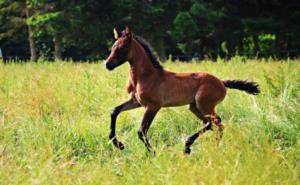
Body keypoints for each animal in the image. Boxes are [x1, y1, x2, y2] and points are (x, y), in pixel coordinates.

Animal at [104, 26, 258, 154]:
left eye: (123, 47)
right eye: (113, 46)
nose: (107, 64)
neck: (146, 76)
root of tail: (222, 82)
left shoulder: (153, 106)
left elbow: (141, 131)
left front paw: (152, 153)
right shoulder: (136, 102)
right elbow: (114, 111)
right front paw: (118, 144)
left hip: (204, 105)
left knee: (216, 122)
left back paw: (191, 146)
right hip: (195, 107)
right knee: (214, 124)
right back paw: (204, 147)